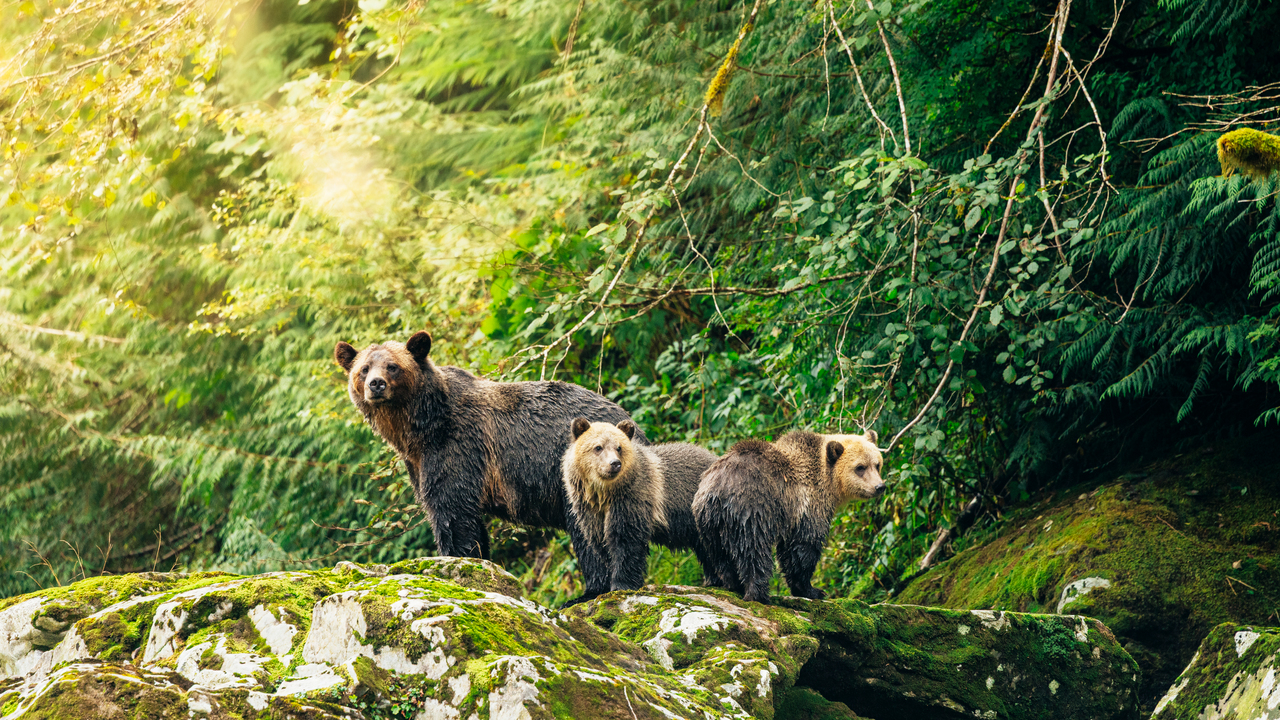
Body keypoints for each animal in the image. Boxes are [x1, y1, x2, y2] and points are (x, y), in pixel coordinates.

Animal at [334, 331, 648, 602]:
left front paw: (454, 561)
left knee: (589, 531)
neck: (418, 428)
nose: (376, 384)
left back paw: (590, 592)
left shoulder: (458, 445)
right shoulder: (418, 461)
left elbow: (451, 509)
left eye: (392, 366)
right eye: (363, 368)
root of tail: (630, 423)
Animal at [562, 418, 719, 595]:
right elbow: (602, 541)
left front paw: (622, 584)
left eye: (619, 447)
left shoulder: (632, 498)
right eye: (598, 447)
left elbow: (625, 539)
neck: (605, 494)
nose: (614, 464)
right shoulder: (589, 508)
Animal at [691, 429, 884, 604]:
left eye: (877, 464)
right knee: (754, 551)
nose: (879, 487)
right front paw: (812, 590)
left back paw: (734, 585)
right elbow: (802, 548)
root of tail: (717, 490)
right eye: (860, 467)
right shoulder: (805, 506)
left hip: (709, 522)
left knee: (719, 554)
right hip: (751, 509)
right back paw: (759, 594)